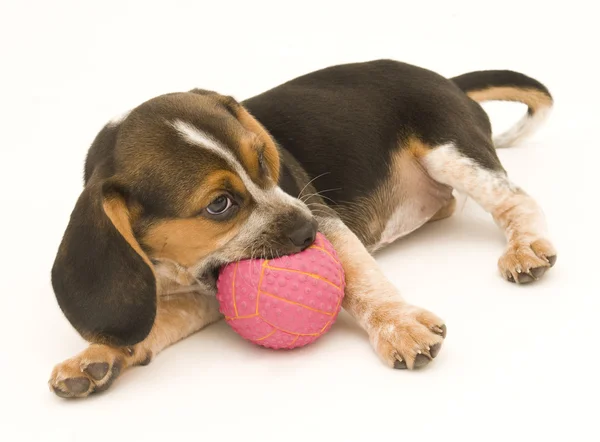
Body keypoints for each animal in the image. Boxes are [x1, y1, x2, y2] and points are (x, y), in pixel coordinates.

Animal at [49, 57, 556, 398]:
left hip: (449, 152)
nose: (309, 231)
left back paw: (526, 247)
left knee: (516, 199)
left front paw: (398, 326)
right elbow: (152, 321)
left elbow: (360, 280)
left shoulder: (324, 220)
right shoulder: (204, 291)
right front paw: (95, 358)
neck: (177, 269)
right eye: (219, 205)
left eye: (265, 162)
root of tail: (445, 79)